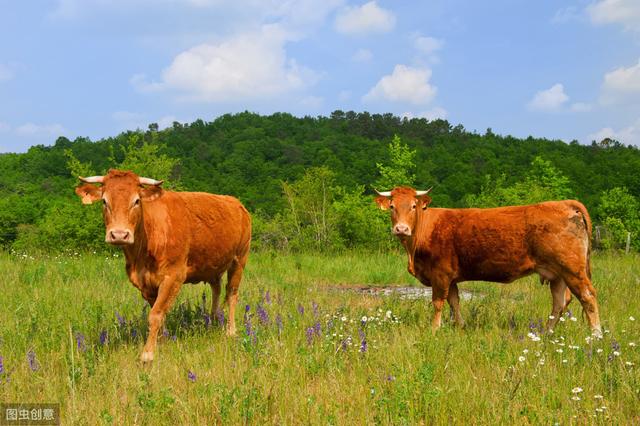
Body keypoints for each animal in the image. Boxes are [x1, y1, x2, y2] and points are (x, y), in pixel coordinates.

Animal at [76, 170, 251, 362]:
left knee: (232, 294)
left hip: (239, 259)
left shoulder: (173, 277)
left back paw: (230, 331)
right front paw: (163, 343)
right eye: (104, 201)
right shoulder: (146, 283)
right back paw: (211, 321)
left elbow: (156, 314)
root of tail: (236, 202)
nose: (119, 234)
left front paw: (148, 354)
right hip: (213, 265)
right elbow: (159, 315)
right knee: (217, 290)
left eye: (137, 201)